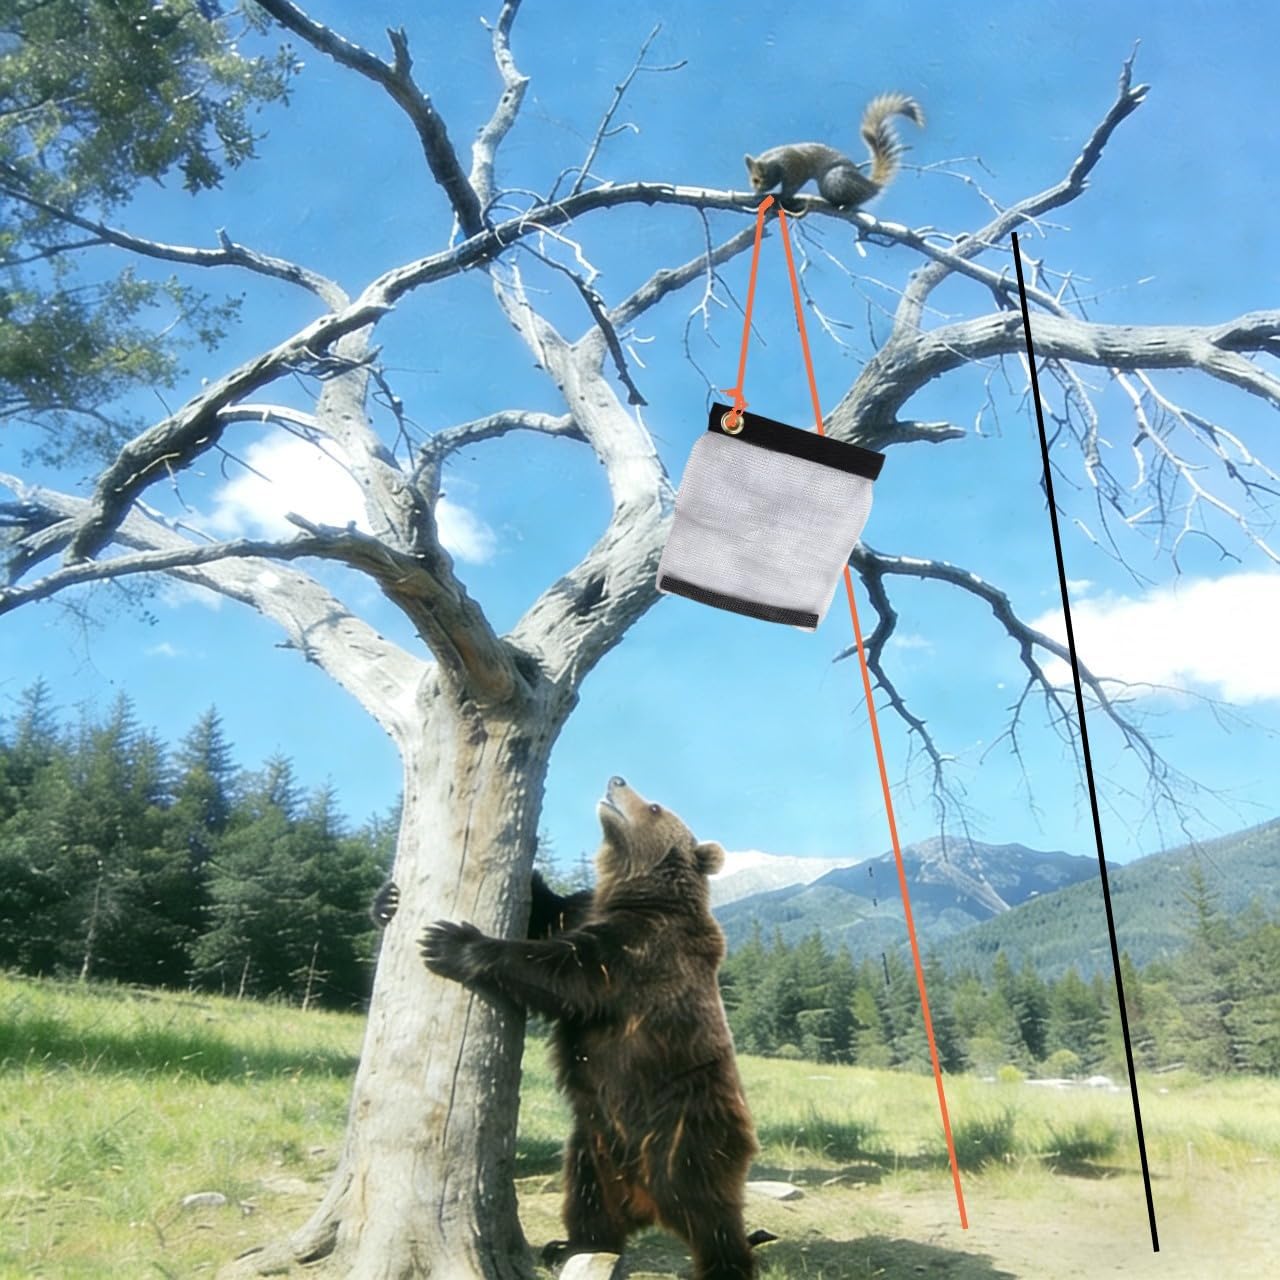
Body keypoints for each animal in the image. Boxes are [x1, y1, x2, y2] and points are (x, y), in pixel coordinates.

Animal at [418, 776, 761, 1280]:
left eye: (654, 806)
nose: (616, 780)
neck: (635, 892)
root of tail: (647, 1202)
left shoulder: (641, 952)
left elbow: (564, 971)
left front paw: (452, 941)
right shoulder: (586, 909)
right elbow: (546, 915)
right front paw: (387, 899)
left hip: (690, 1133)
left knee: (712, 1216)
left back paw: (726, 1263)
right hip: (594, 1146)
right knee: (588, 1200)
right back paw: (570, 1245)